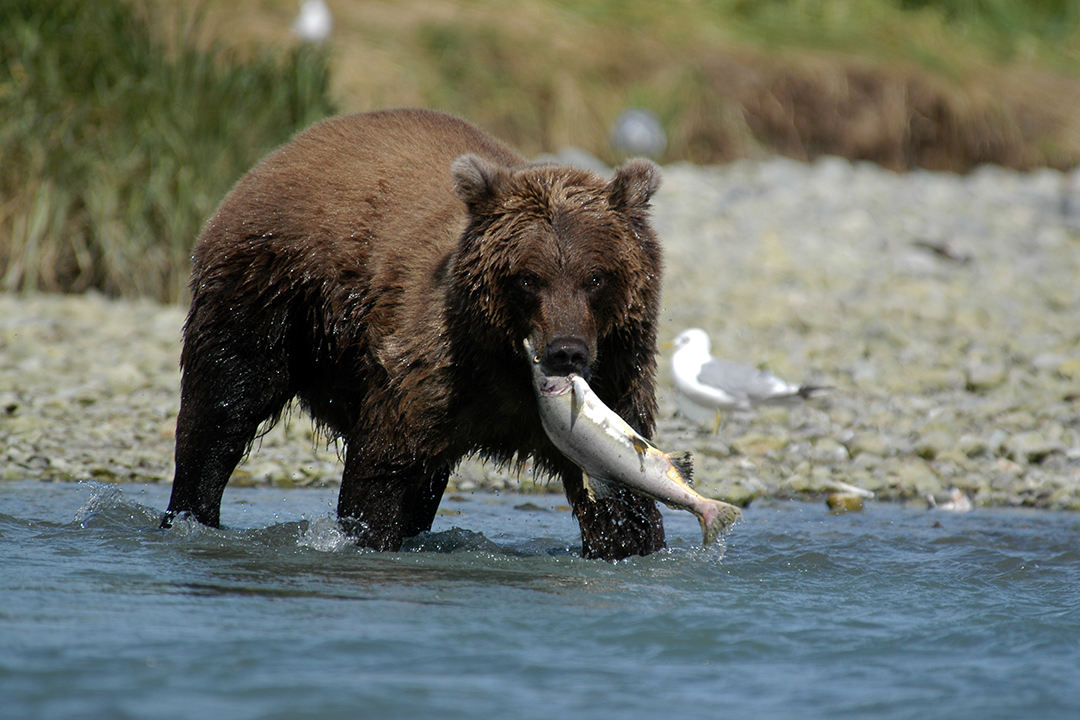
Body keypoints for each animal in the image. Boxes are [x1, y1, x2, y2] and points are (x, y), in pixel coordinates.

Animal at [162, 108, 666, 560]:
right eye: (528, 278)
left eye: (596, 277)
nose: (566, 351)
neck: (504, 365)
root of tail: (279, 153)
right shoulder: (429, 365)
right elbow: (385, 466)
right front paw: (368, 534)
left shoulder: (614, 380)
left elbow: (624, 499)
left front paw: (631, 542)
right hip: (268, 293)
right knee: (223, 406)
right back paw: (189, 517)